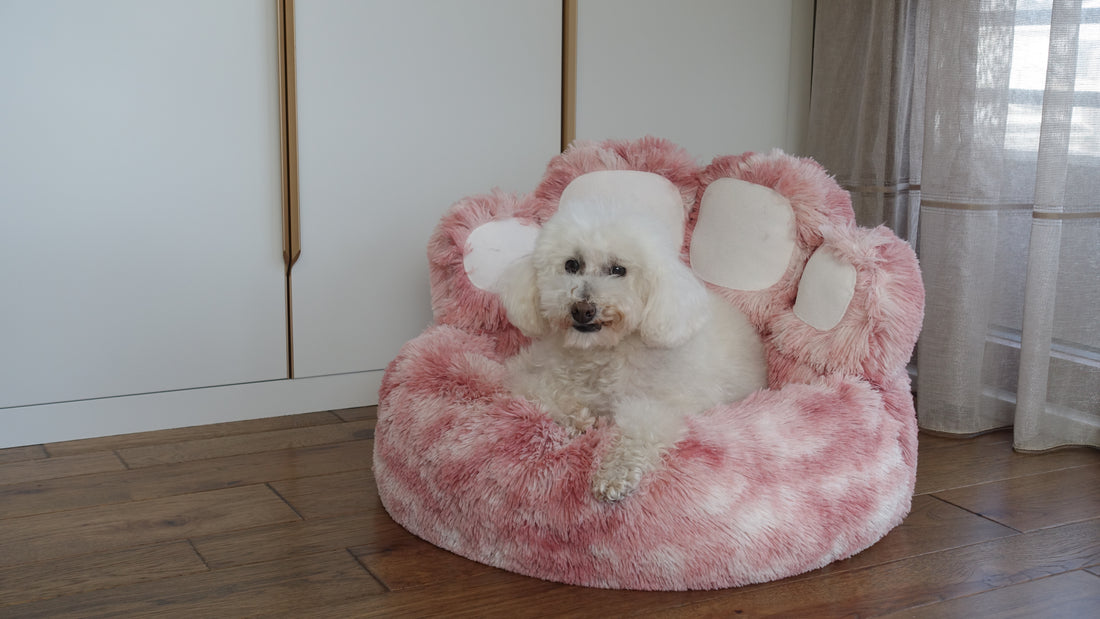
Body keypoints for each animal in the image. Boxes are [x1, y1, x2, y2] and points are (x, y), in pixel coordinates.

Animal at [499, 193, 765, 503]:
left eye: (618, 270)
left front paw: (614, 474)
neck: (601, 353)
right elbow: (534, 387)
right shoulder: (529, 370)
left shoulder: (665, 404)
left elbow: (641, 429)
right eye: (572, 265)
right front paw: (578, 419)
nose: (582, 309)